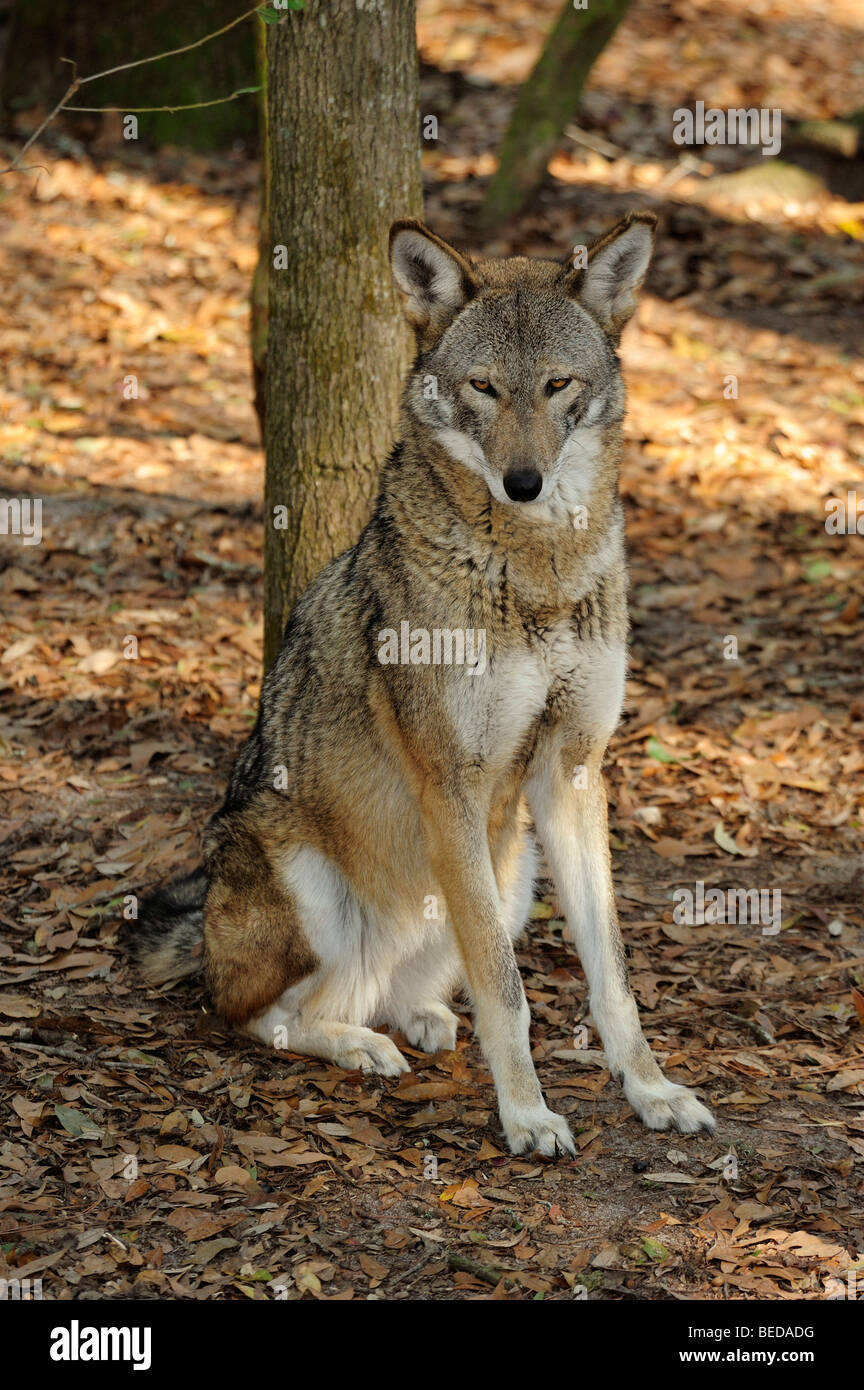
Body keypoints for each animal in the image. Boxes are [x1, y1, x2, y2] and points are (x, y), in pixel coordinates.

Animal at [132, 211, 714, 1156]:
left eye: (556, 385)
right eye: (483, 387)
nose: (524, 482)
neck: (535, 572)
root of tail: (207, 924)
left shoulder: (573, 772)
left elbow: (612, 978)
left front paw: (652, 1090)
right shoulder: (452, 785)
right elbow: (508, 993)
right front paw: (527, 1114)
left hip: (512, 873)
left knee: (409, 986)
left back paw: (417, 1018)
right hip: (318, 888)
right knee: (259, 1014)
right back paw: (360, 1044)